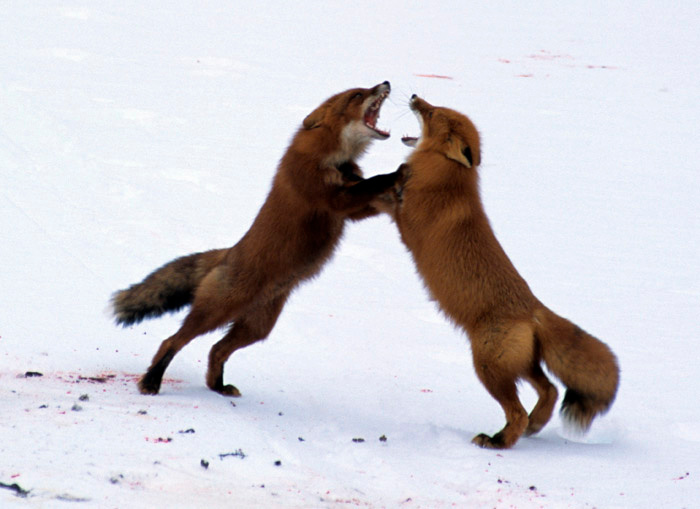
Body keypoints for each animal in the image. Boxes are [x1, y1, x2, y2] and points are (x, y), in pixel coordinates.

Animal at [112, 81, 401, 396]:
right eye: (357, 95)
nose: (385, 83)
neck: (333, 157)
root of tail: (227, 253)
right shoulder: (329, 197)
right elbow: (372, 182)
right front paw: (398, 172)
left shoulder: (351, 207)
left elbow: (368, 192)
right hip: (217, 312)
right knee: (173, 341)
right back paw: (152, 380)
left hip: (257, 327)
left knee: (216, 350)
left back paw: (218, 387)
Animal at [384, 95, 619, 449]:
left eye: (432, 113)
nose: (413, 96)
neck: (447, 178)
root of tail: (533, 308)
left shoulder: (407, 222)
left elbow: (390, 197)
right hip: (519, 366)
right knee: (550, 390)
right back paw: (534, 425)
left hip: (487, 367)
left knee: (518, 410)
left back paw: (498, 441)